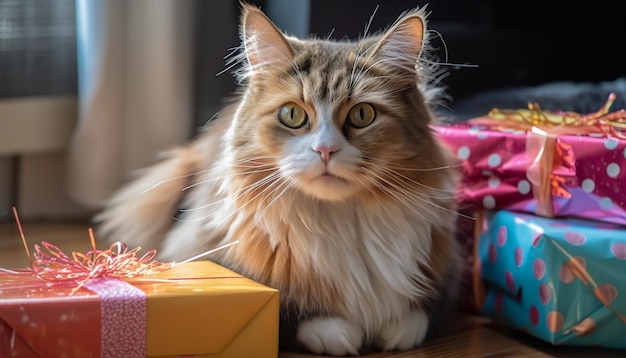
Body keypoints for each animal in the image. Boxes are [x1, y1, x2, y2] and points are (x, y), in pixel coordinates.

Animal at [95, 2, 460, 356]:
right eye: (292, 115)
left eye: (362, 115)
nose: (325, 150)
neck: (337, 221)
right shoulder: (198, 250)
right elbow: (288, 311)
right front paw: (336, 331)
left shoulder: (442, 266)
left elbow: (420, 315)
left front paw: (396, 329)